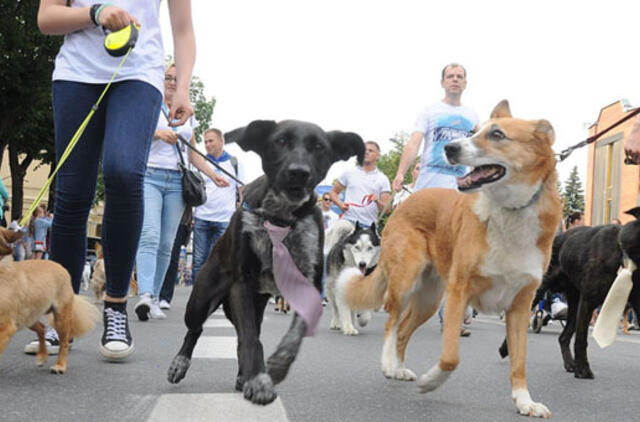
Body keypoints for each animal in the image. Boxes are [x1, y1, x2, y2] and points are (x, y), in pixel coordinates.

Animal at [0, 227, 99, 372]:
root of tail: (61, 267)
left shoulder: (6, 328)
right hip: (28, 317)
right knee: (42, 328)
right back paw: (42, 356)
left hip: (61, 318)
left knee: (64, 342)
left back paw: (60, 365)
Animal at [168, 120, 362, 404]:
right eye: (280, 141)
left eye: (319, 147)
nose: (298, 172)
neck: (281, 217)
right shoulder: (241, 284)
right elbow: (250, 339)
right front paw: (259, 379)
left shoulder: (308, 285)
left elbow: (293, 334)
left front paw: (278, 365)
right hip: (201, 300)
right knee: (196, 330)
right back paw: (180, 363)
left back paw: (242, 375)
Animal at [336, 100, 560, 418]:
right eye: (473, 132)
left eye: (497, 134)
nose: (450, 148)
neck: (511, 210)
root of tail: (406, 200)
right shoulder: (459, 292)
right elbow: (451, 356)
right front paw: (432, 381)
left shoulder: (521, 306)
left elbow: (519, 361)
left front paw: (524, 401)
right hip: (406, 281)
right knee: (392, 322)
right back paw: (389, 364)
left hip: (429, 299)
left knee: (403, 330)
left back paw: (399, 367)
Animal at [500, 208, 640, 380]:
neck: (624, 253)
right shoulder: (588, 301)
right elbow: (581, 339)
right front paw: (583, 369)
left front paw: (579, 367)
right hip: (540, 292)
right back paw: (506, 348)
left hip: (574, 306)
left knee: (563, 337)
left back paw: (570, 364)